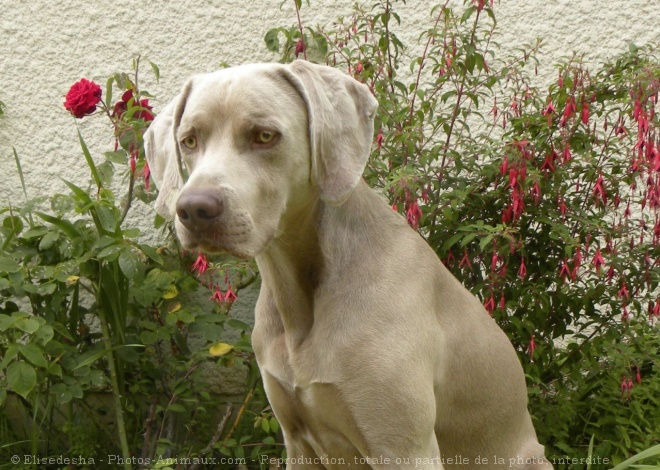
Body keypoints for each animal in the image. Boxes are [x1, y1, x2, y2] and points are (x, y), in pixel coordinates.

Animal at [144, 60, 552, 468]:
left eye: (264, 135)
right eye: (189, 140)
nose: (193, 209)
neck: (301, 296)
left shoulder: (404, 449)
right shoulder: (298, 443)